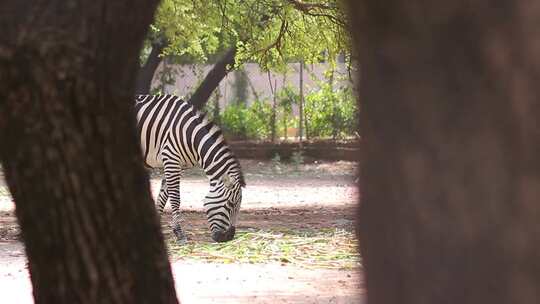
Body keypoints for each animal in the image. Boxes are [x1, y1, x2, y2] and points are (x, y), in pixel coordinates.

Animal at [134, 94, 246, 243]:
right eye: (230, 204)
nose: (228, 238)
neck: (191, 136)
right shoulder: (171, 159)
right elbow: (175, 198)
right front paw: (180, 234)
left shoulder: (175, 165)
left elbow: (163, 196)